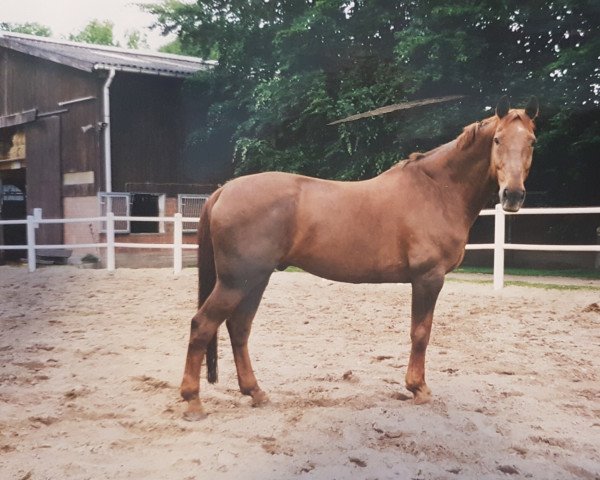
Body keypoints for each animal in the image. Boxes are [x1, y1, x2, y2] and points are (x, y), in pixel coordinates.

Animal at [179, 97, 540, 420]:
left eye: (532, 141)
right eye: (497, 139)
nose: (512, 195)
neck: (438, 190)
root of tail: (224, 190)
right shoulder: (428, 278)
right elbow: (420, 332)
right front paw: (418, 388)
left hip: (256, 279)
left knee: (239, 328)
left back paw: (255, 392)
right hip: (236, 281)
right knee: (202, 325)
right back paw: (193, 402)